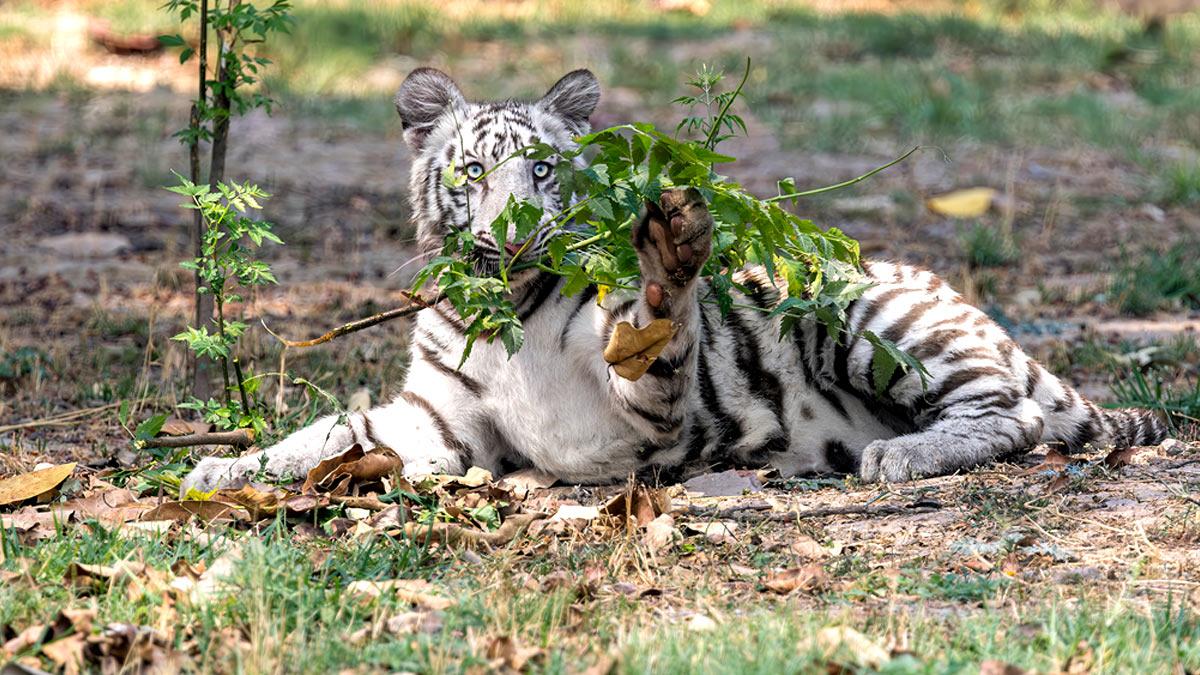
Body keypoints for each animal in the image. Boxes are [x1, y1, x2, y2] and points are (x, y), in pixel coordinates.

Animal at [180, 68, 1167, 494]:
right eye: (473, 172)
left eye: (543, 171)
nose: (516, 228)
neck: (509, 314)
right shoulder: (436, 420)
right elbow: (324, 432)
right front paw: (221, 466)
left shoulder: (638, 424)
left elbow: (654, 342)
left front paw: (668, 263)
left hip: (872, 316)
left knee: (1016, 415)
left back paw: (902, 455)